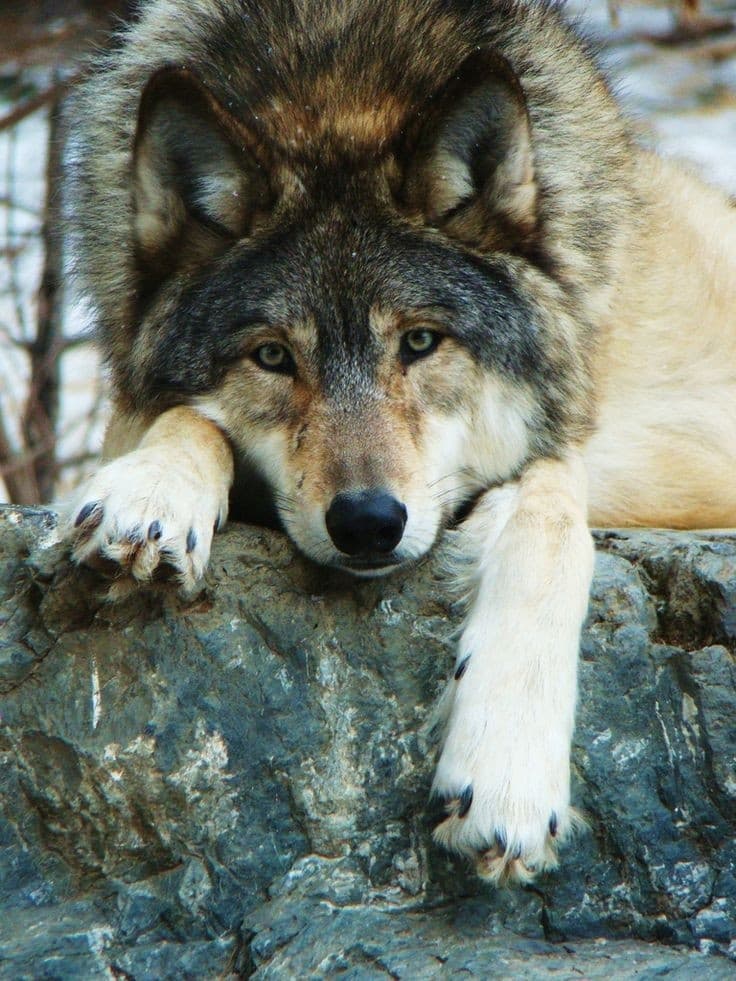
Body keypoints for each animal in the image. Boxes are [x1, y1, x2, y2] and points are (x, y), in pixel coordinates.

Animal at [64, 0, 736, 884]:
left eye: (419, 342)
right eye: (272, 356)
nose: (367, 523)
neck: (336, 82)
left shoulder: (660, 440)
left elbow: (552, 501)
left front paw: (508, 771)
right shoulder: (129, 404)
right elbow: (190, 419)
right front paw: (150, 494)